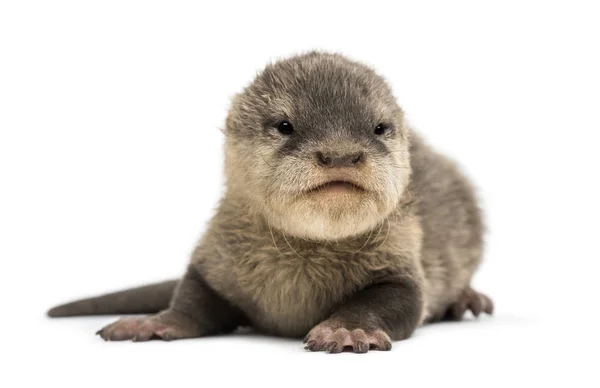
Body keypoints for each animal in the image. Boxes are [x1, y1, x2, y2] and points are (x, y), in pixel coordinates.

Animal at [48, 53, 492, 354]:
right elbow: (194, 299)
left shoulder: (400, 255)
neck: (299, 274)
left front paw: (347, 329)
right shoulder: (217, 254)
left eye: (380, 127)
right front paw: (151, 323)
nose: (340, 154)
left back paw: (468, 300)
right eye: (284, 125)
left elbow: (398, 300)